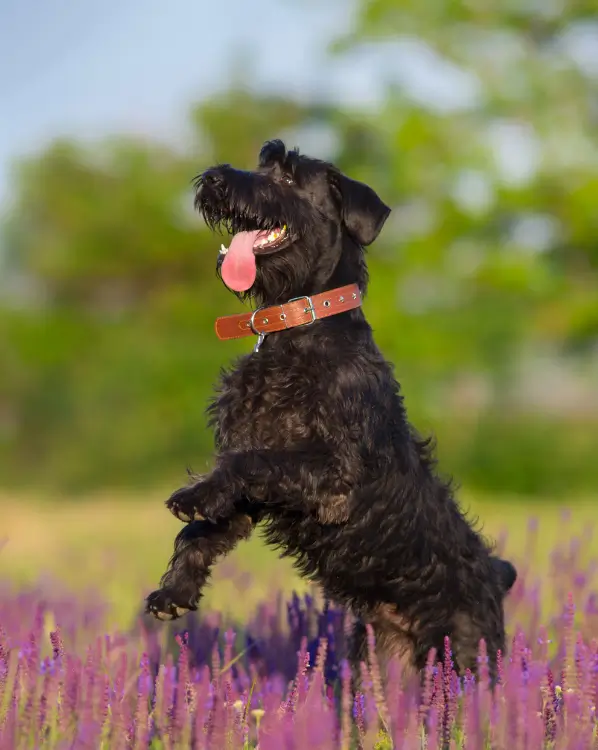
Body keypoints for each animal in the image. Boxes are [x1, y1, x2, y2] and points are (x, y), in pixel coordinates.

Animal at [146, 140, 520, 680]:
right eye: (261, 163)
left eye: (287, 176)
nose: (214, 178)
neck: (297, 330)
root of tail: (497, 575)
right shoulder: (252, 499)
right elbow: (204, 525)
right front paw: (174, 589)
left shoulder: (333, 479)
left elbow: (251, 462)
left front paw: (191, 496)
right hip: (374, 660)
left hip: (465, 656)